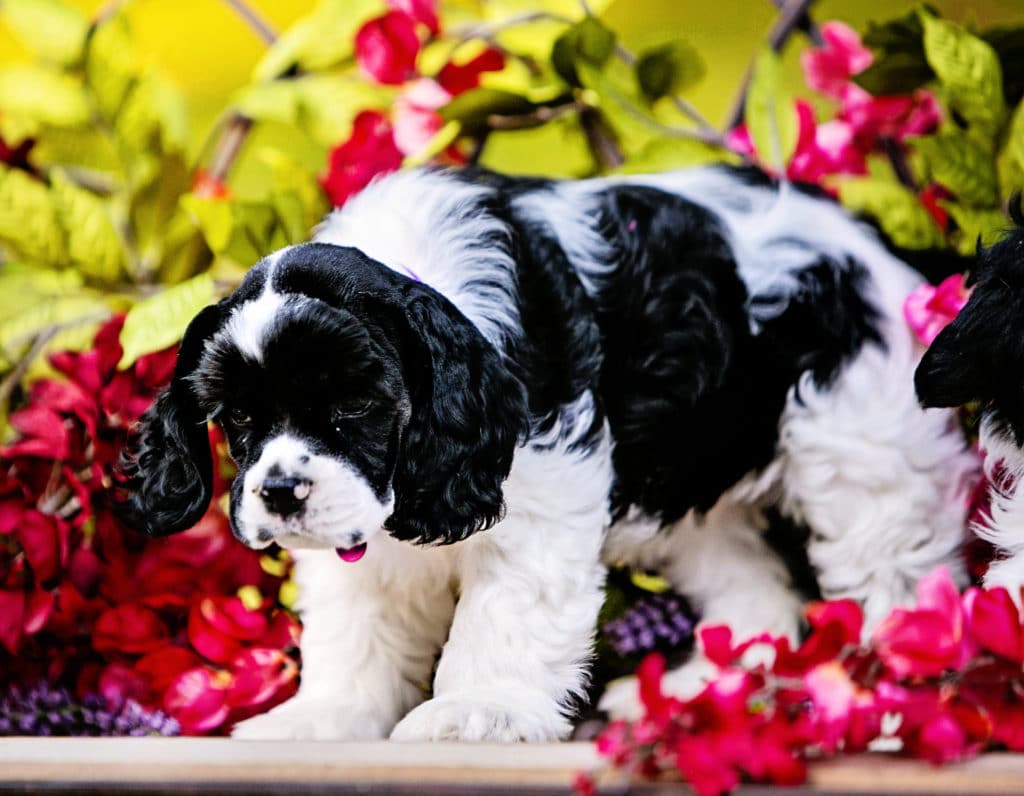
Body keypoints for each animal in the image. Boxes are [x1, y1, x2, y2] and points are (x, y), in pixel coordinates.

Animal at [119, 164, 974, 741]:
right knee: (754, 588)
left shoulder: (539, 489)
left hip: (860, 444)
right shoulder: (359, 530)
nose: (280, 494)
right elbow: (356, 623)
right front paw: (322, 718)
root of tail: (876, 248)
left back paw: (893, 699)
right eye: (237, 418)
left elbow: (506, 610)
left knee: (893, 571)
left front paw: (477, 709)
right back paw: (705, 694)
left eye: (356, 404)